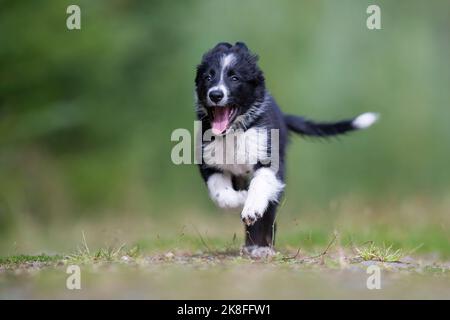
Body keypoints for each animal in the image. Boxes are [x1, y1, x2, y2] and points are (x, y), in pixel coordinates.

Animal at [195, 42, 378, 258]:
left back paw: (260, 246)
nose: (215, 94)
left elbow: (259, 186)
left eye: (234, 78)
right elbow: (221, 194)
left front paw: (251, 207)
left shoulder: (270, 161)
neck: (235, 132)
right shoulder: (209, 164)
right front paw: (241, 198)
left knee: (268, 213)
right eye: (208, 77)